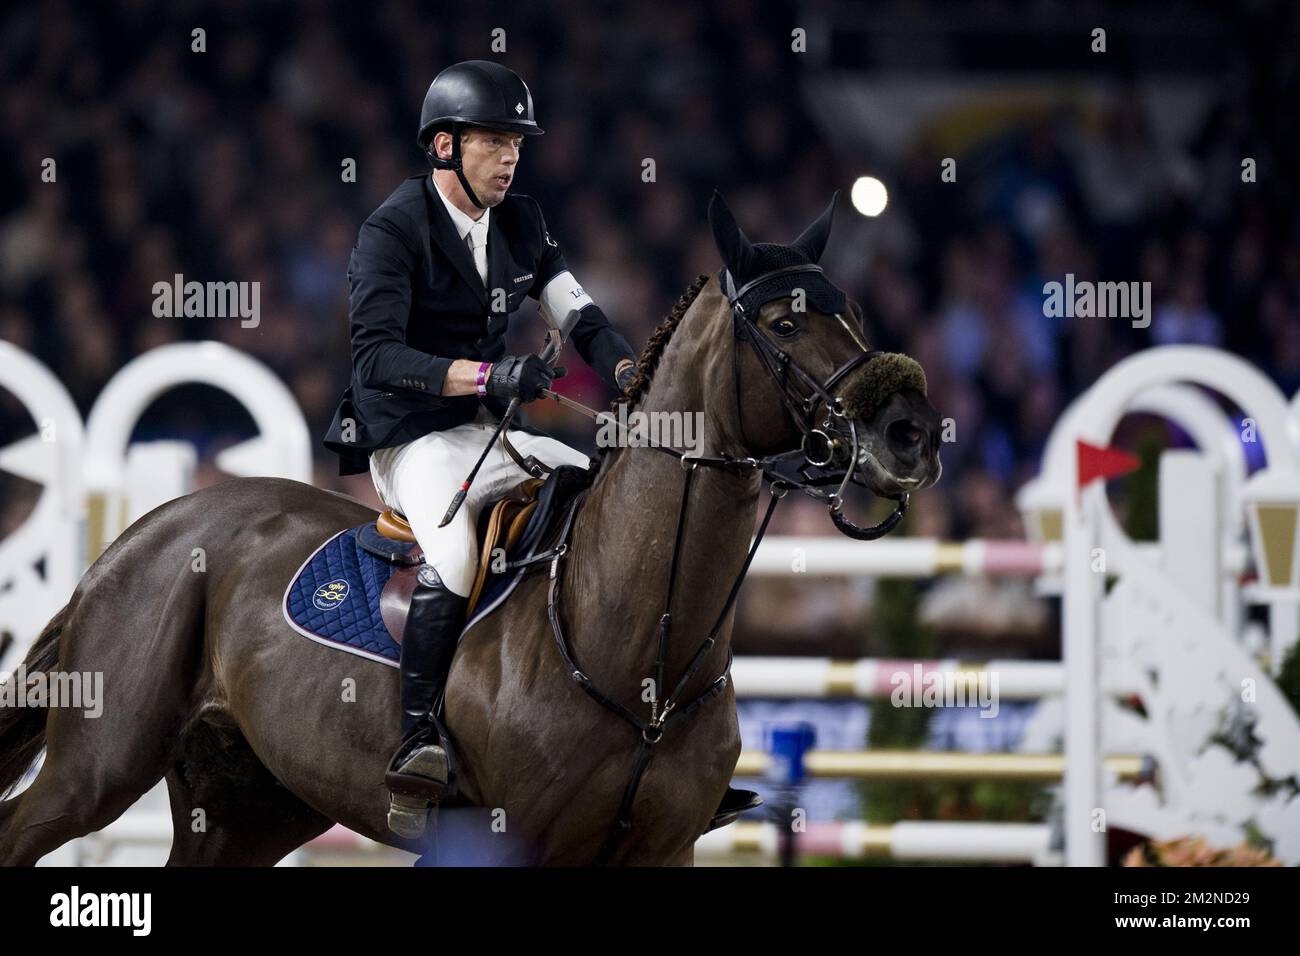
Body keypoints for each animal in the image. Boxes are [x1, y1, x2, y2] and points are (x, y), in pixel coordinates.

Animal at [0, 191, 941, 863]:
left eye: (856, 313)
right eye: (784, 324)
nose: (913, 435)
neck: (643, 648)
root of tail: (145, 532)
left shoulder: (659, 853)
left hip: (245, 806)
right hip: (101, 766)